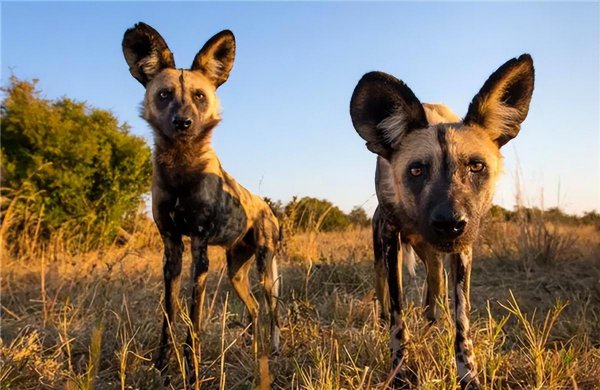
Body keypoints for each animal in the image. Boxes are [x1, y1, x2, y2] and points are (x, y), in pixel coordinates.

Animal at [122, 22, 284, 380]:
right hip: (235, 273)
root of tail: (267, 207)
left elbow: (193, 322)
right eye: (164, 95)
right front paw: (161, 366)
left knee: (272, 310)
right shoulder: (171, 249)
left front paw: (192, 370)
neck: (180, 168)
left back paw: (275, 349)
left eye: (199, 96)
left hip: (265, 270)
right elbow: (169, 316)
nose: (183, 122)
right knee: (253, 309)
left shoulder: (198, 250)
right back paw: (254, 349)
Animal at [352, 54, 536, 386]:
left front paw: (468, 375)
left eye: (476, 167)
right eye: (416, 170)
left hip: (432, 255)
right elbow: (398, 316)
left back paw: (432, 327)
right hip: (384, 253)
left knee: (434, 289)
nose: (450, 223)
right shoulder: (391, 239)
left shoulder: (462, 250)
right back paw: (385, 321)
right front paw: (399, 372)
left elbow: (461, 321)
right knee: (383, 292)